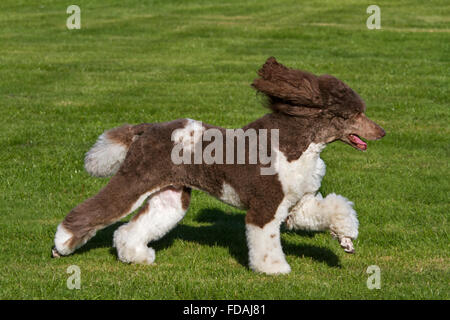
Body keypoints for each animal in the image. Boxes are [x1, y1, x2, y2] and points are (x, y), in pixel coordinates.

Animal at [51, 57, 384, 276]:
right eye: (352, 114)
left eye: (361, 112)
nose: (381, 132)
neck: (295, 144)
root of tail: (146, 129)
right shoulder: (265, 206)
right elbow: (266, 241)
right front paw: (274, 269)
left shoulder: (295, 203)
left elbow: (332, 210)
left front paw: (346, 237)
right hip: (134, 180)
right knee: (93, 212)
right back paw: (61, 246)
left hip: (171, 196)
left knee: (131, 228)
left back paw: (134, 255)